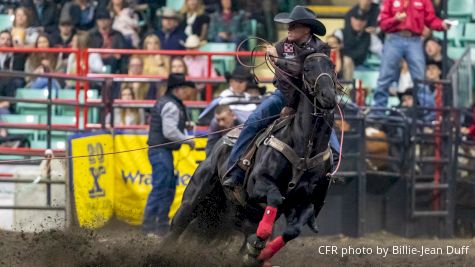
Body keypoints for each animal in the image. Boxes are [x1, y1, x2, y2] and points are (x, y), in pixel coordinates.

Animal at [169, 47, 336, 266]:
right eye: (307, 69)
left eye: (332, 68)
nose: (328, 96)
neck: (304, 147)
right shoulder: (258, 184)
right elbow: (275, 199)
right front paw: (258, 242)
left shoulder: (305, 202)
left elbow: (292, 230)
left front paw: (259, 252)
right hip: (194, 199)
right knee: (176, 227)